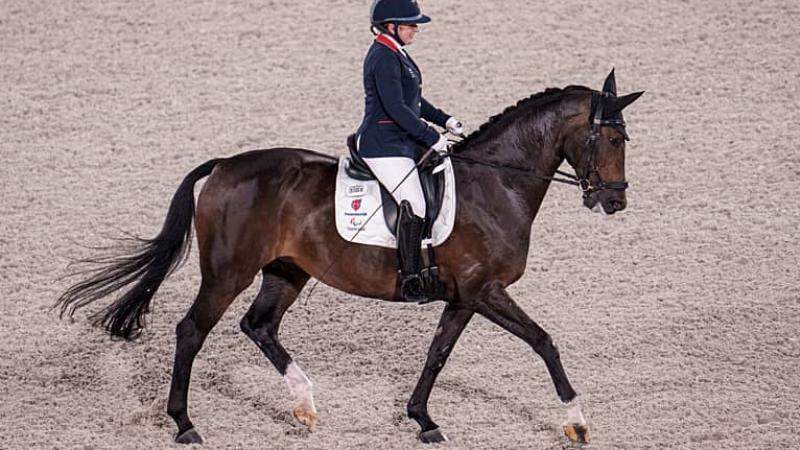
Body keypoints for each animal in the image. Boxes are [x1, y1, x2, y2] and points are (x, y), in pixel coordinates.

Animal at [56, 68, 644, 444]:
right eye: (612, 139)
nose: (614, 201)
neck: (498, 183)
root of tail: (224, 165)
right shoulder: (485, 291)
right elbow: (544, 342)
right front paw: (577, 422)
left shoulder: (464, 297)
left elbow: (437, 354)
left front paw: (422, 419)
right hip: (228, 273)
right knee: (191, 331)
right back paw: (185, 424)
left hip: (286, 272)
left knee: (258, 326)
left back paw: (305, 405)